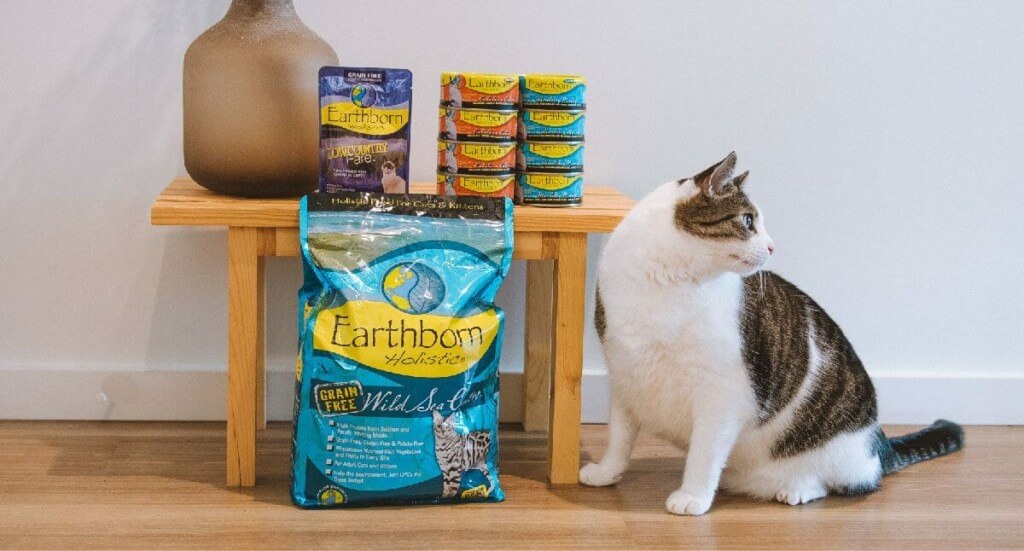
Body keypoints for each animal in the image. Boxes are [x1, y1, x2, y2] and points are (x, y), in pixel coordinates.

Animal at [581, 151, 962, 514]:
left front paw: (692, 497)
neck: (667, 283)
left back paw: (797, 489)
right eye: (748, 220)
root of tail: (879, 445)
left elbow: (704, 452)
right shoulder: (626, 376)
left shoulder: (722, 394)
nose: (772, 246)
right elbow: (619, 436)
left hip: (841, 452)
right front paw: (606, 472)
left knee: (841, 482)